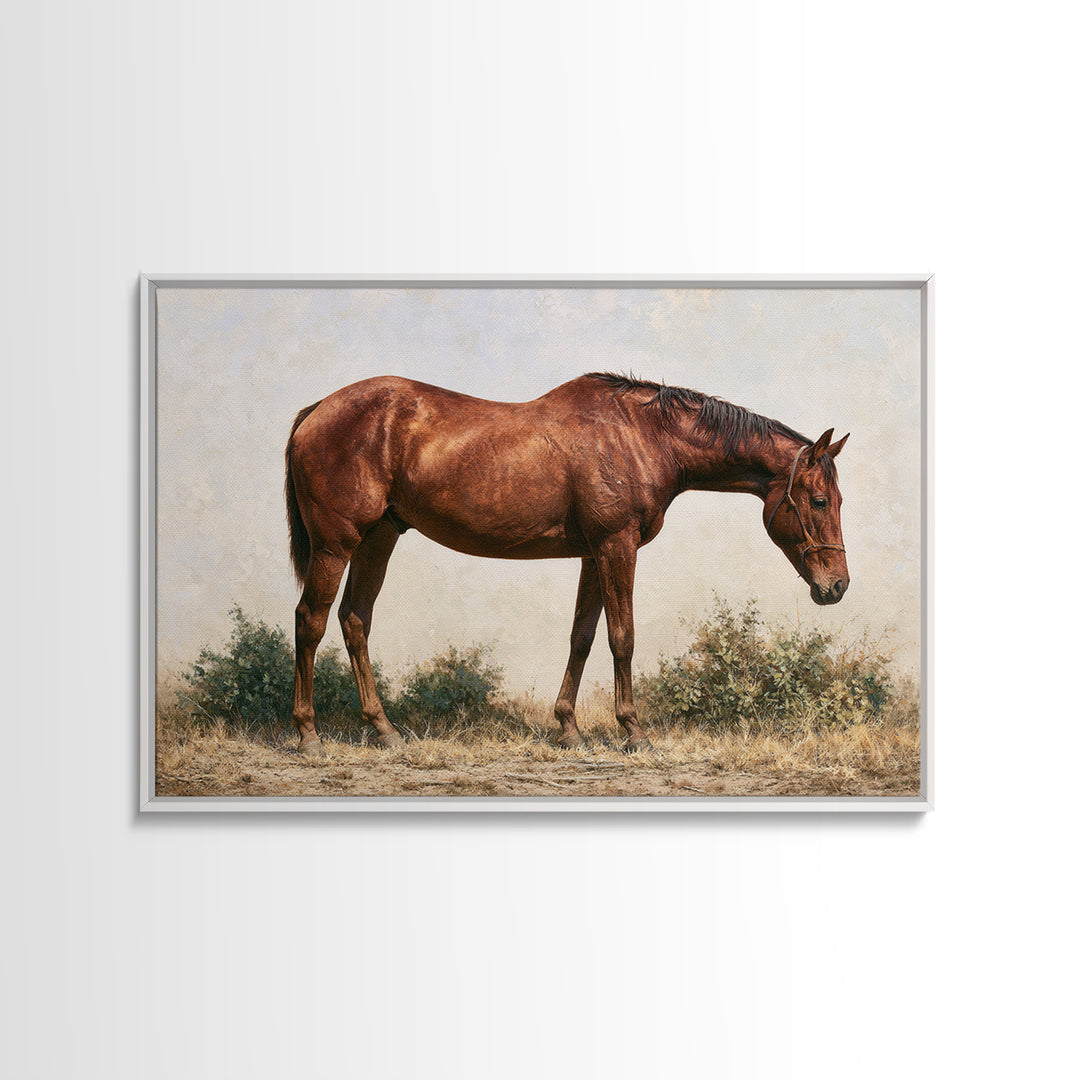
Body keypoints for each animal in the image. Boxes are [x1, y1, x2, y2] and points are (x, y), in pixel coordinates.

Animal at [284, 372, 850, 755]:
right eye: (820, 500)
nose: (838, 586)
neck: (641, 436)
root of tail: (317, 409)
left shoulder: (593, 554)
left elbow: (582, 636)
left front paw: (569, 728)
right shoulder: (617, 546)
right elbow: (622, 636)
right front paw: (634, 732)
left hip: (378, 538)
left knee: (355, 621)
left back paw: (385, 730)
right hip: (336, 545)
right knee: (311, 621)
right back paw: (309, 734)